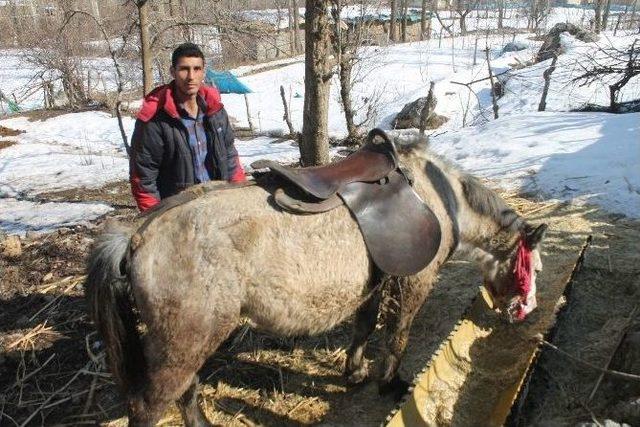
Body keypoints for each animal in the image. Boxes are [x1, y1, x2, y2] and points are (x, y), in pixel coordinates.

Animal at [85, 129, 548, 426]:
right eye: (534, 269)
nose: (524, 311)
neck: (440, 197)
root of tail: (137, 236)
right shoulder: (414, 281)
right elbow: (397, 335)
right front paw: (390, 383)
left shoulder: (374, 284)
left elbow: (364, 327)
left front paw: (355, 373)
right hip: (184, 342)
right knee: (151, 404)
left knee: (187, 391)